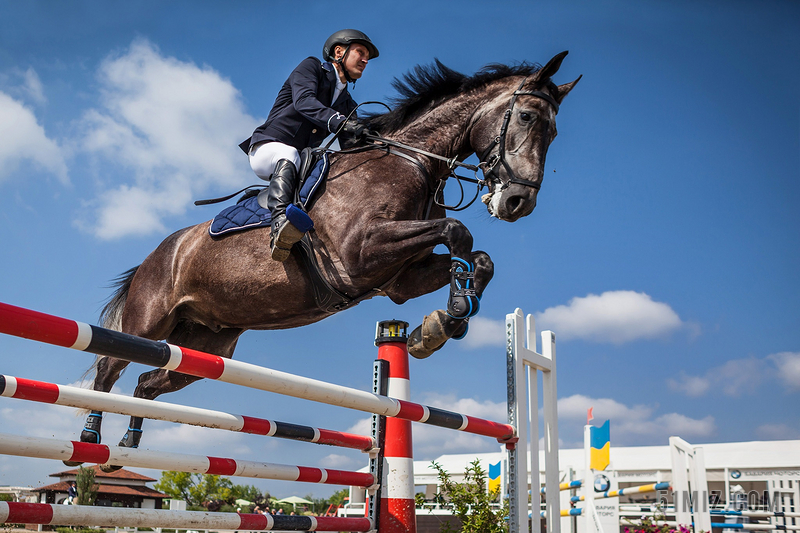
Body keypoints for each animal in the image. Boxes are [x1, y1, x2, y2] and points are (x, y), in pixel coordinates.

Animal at [72, 51, 580, 466]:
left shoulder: (399, 279)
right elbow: (459, 230)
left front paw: (442, 323)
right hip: (149, 321)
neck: (411, 162)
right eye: (528, 116)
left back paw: (128, 443)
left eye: (555, 130)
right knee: (109, 365)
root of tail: (160, 252)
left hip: (207, 344)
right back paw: (90, 441)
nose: (517, 202)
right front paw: (448, 315)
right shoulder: (360, 254)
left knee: (149, 381)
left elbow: (480, 257)